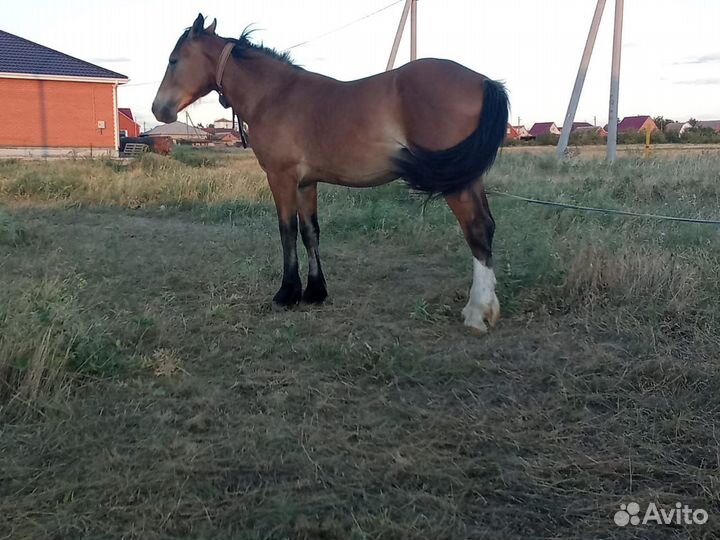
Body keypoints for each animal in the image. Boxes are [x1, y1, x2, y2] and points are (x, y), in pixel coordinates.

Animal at [152, 14, 509, 333]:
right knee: (487, 227)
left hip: (458, 182)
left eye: (173, 60)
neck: (274, 95)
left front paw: (286, 294)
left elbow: (287, 231)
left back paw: (477, 313)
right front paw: (315, 292)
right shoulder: (307, 183)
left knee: (476, 229)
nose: (158, 109)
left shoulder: (281, 178)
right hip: (468, 177)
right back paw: (489, 308)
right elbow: (311, 232)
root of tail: (483, 81)